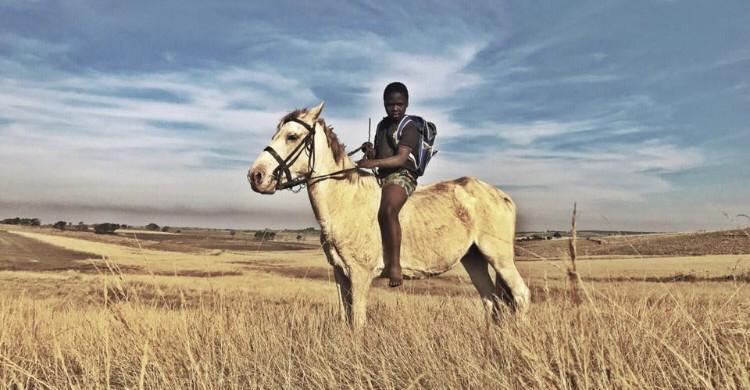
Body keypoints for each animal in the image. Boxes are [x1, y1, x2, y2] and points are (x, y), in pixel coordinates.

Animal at [250, 102, 532, 328]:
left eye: (292, 136)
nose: (255, 176)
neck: (344, 200)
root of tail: (500, 195)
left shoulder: (360, 275)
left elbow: (357, 323)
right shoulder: (341, 274)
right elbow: (345, 319)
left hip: (499, 257)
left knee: (520, 296)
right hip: (474, 258)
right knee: (491, 302)